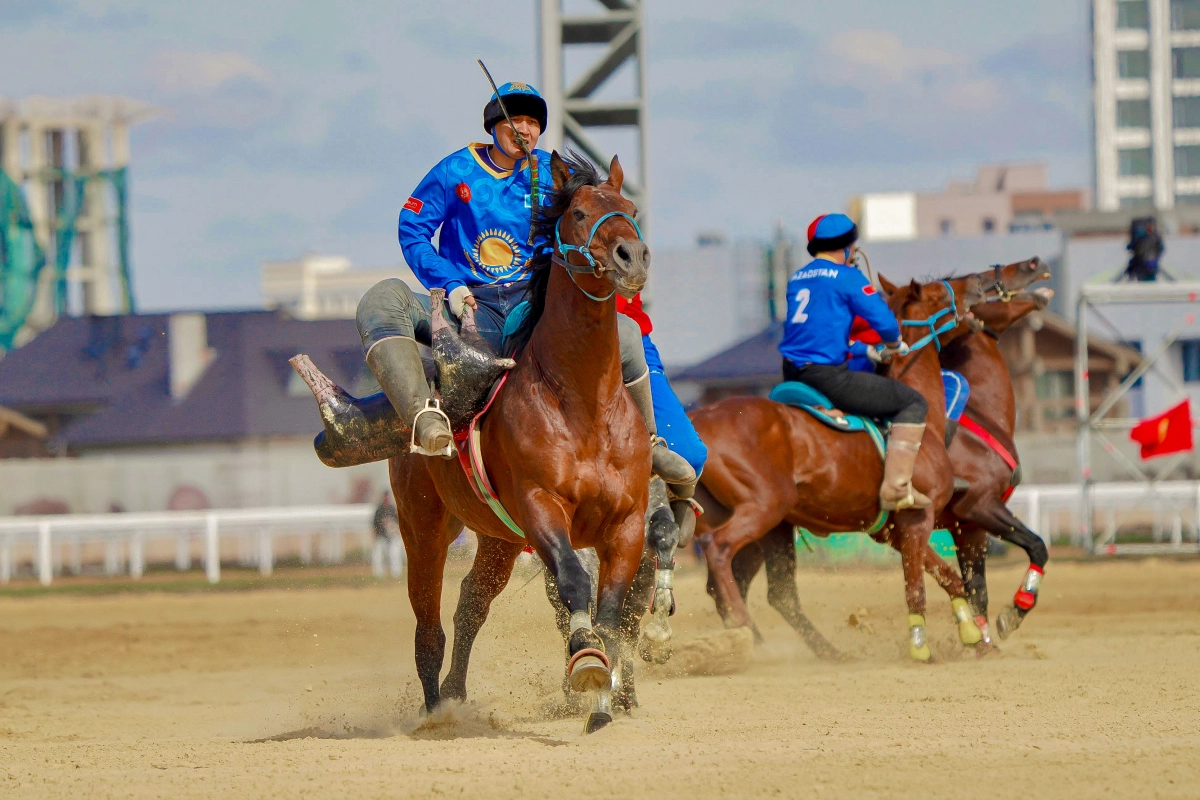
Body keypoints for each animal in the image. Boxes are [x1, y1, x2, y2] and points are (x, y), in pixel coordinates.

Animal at [386, 149, 657, 734]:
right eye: (578, 212)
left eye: (630, 208)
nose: (632, 255)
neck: (583, 404)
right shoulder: (540, 506)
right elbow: (575, 581)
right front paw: (586, 662)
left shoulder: (626, 523)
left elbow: (611, 607)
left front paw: (604, 700)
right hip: (423, 528)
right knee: (428, 623)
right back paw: (434, 709)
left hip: (499, 540)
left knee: (470, 604)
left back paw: (455, 691)